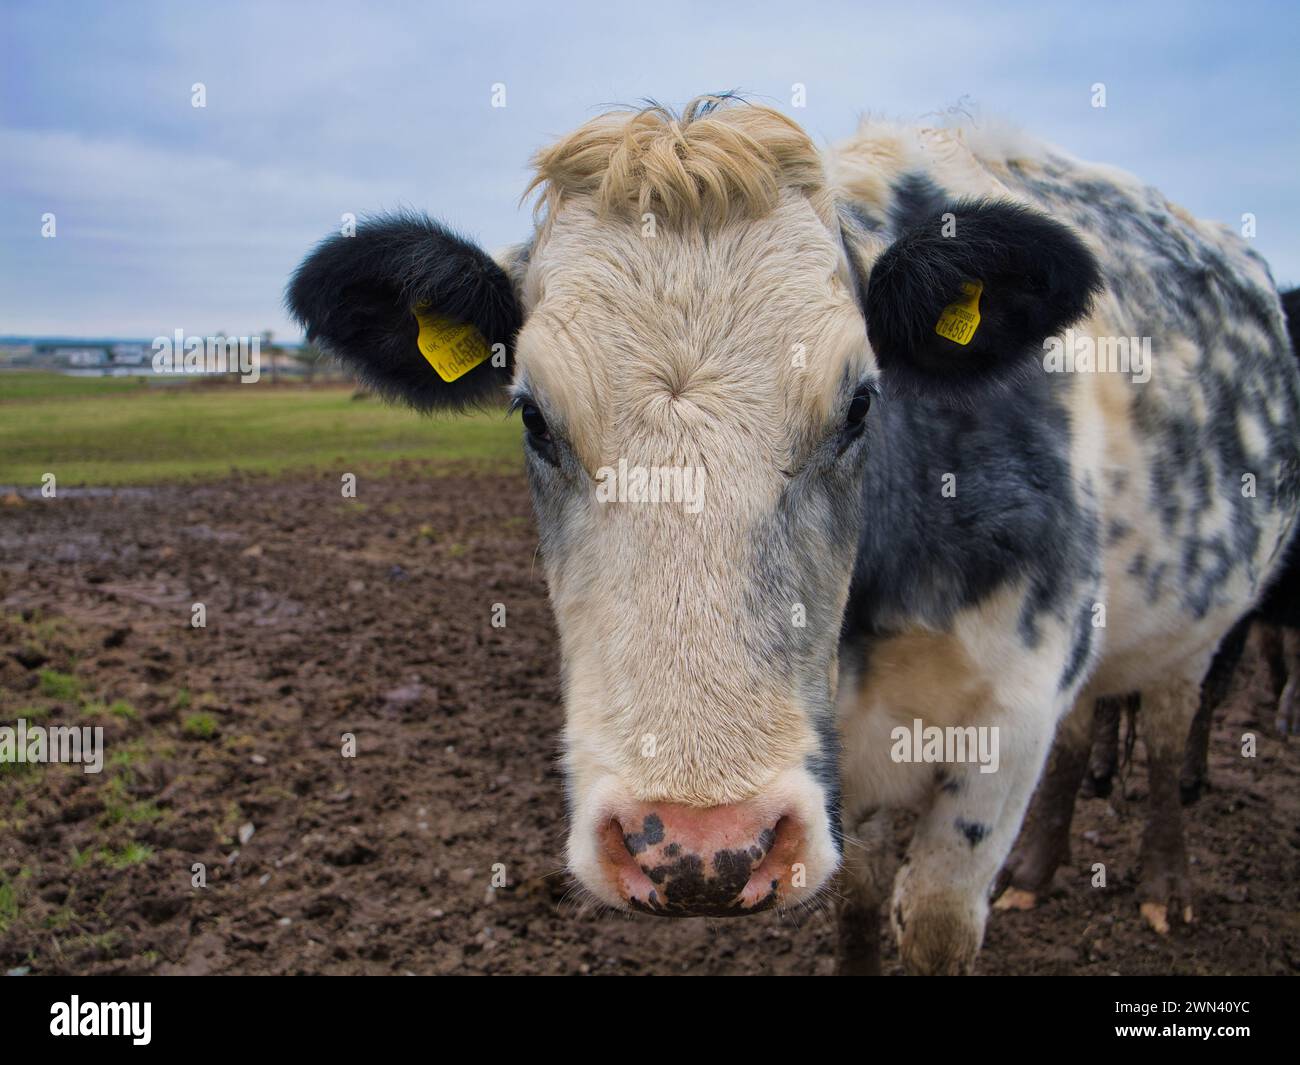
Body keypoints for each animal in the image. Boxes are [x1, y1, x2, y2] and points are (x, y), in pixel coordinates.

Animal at [287, 95, 1300, 975]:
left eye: (860, 403)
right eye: (532, 415)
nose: (699, 846)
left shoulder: (1007, 730)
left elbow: (933, 920)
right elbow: (856, 904)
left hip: (1192, 634)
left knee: (1164, 731)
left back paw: (1164, 886)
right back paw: (1040, 872)